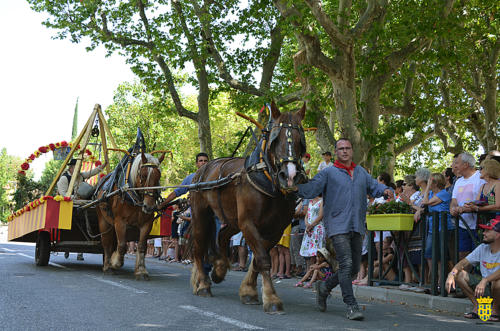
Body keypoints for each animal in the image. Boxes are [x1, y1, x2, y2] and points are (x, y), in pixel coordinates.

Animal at [94, 152, 164, 280]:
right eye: (143, 175)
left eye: (158, 176)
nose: (149, 207)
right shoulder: (120, 222)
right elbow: (122, 245)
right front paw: (115, 263)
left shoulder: (147, 223)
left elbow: (141, 246)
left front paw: (141, 270)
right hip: (103, 221)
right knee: (106, 243)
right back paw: (107, 266)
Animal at [189, 102, 306, 316]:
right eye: (275, 139)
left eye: (300, 140)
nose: (290, 176)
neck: (267, 178)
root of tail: (203, 169)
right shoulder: (249, 223)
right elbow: (263, 259)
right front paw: (272, 299)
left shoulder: (275, 229)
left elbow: (259, 260)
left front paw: (249, 291)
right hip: (201, 214)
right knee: (198, 248)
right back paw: (202, 284)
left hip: (232, 219)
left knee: (222, 236)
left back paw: (219, 269)